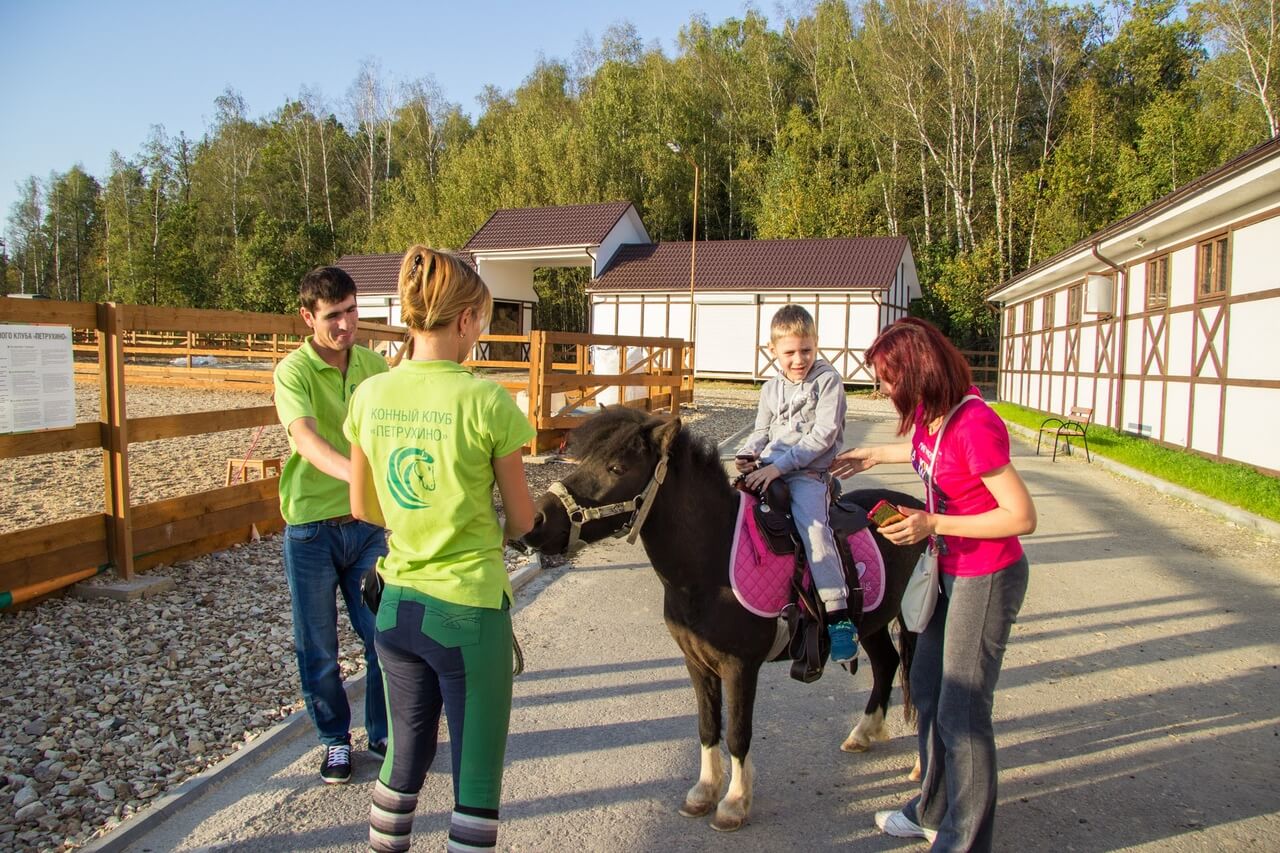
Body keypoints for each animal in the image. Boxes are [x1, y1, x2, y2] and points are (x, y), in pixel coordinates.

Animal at [524, 409, 926, 824]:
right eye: (581, 459)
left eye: (616, 467)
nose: (536, 520)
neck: (710, 561)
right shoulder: (697, 662)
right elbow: (707, 726)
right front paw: (704, 791)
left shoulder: (740, 666)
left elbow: (737, 732)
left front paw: (734, 801)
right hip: (874, 623)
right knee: (887, 663)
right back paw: (863, 733)